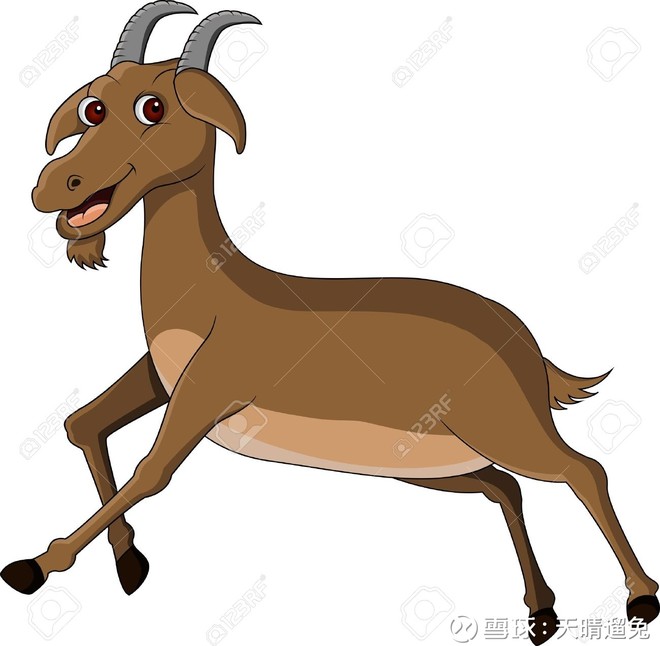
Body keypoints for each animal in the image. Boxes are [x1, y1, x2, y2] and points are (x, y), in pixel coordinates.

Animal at [3, 4, 657, 643]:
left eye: (153, 107)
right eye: (94, 106)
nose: (53, 185)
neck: (211, 294)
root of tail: (525, 343)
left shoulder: (205, 393)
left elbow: (150, 472)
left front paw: (33, 566)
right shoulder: (161, 380)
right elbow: (81, 425)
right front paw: (129, 564)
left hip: (508, 430)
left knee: (583, 470)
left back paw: (640, 598)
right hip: (433, 466)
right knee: (508, 488)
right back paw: (541, 611)